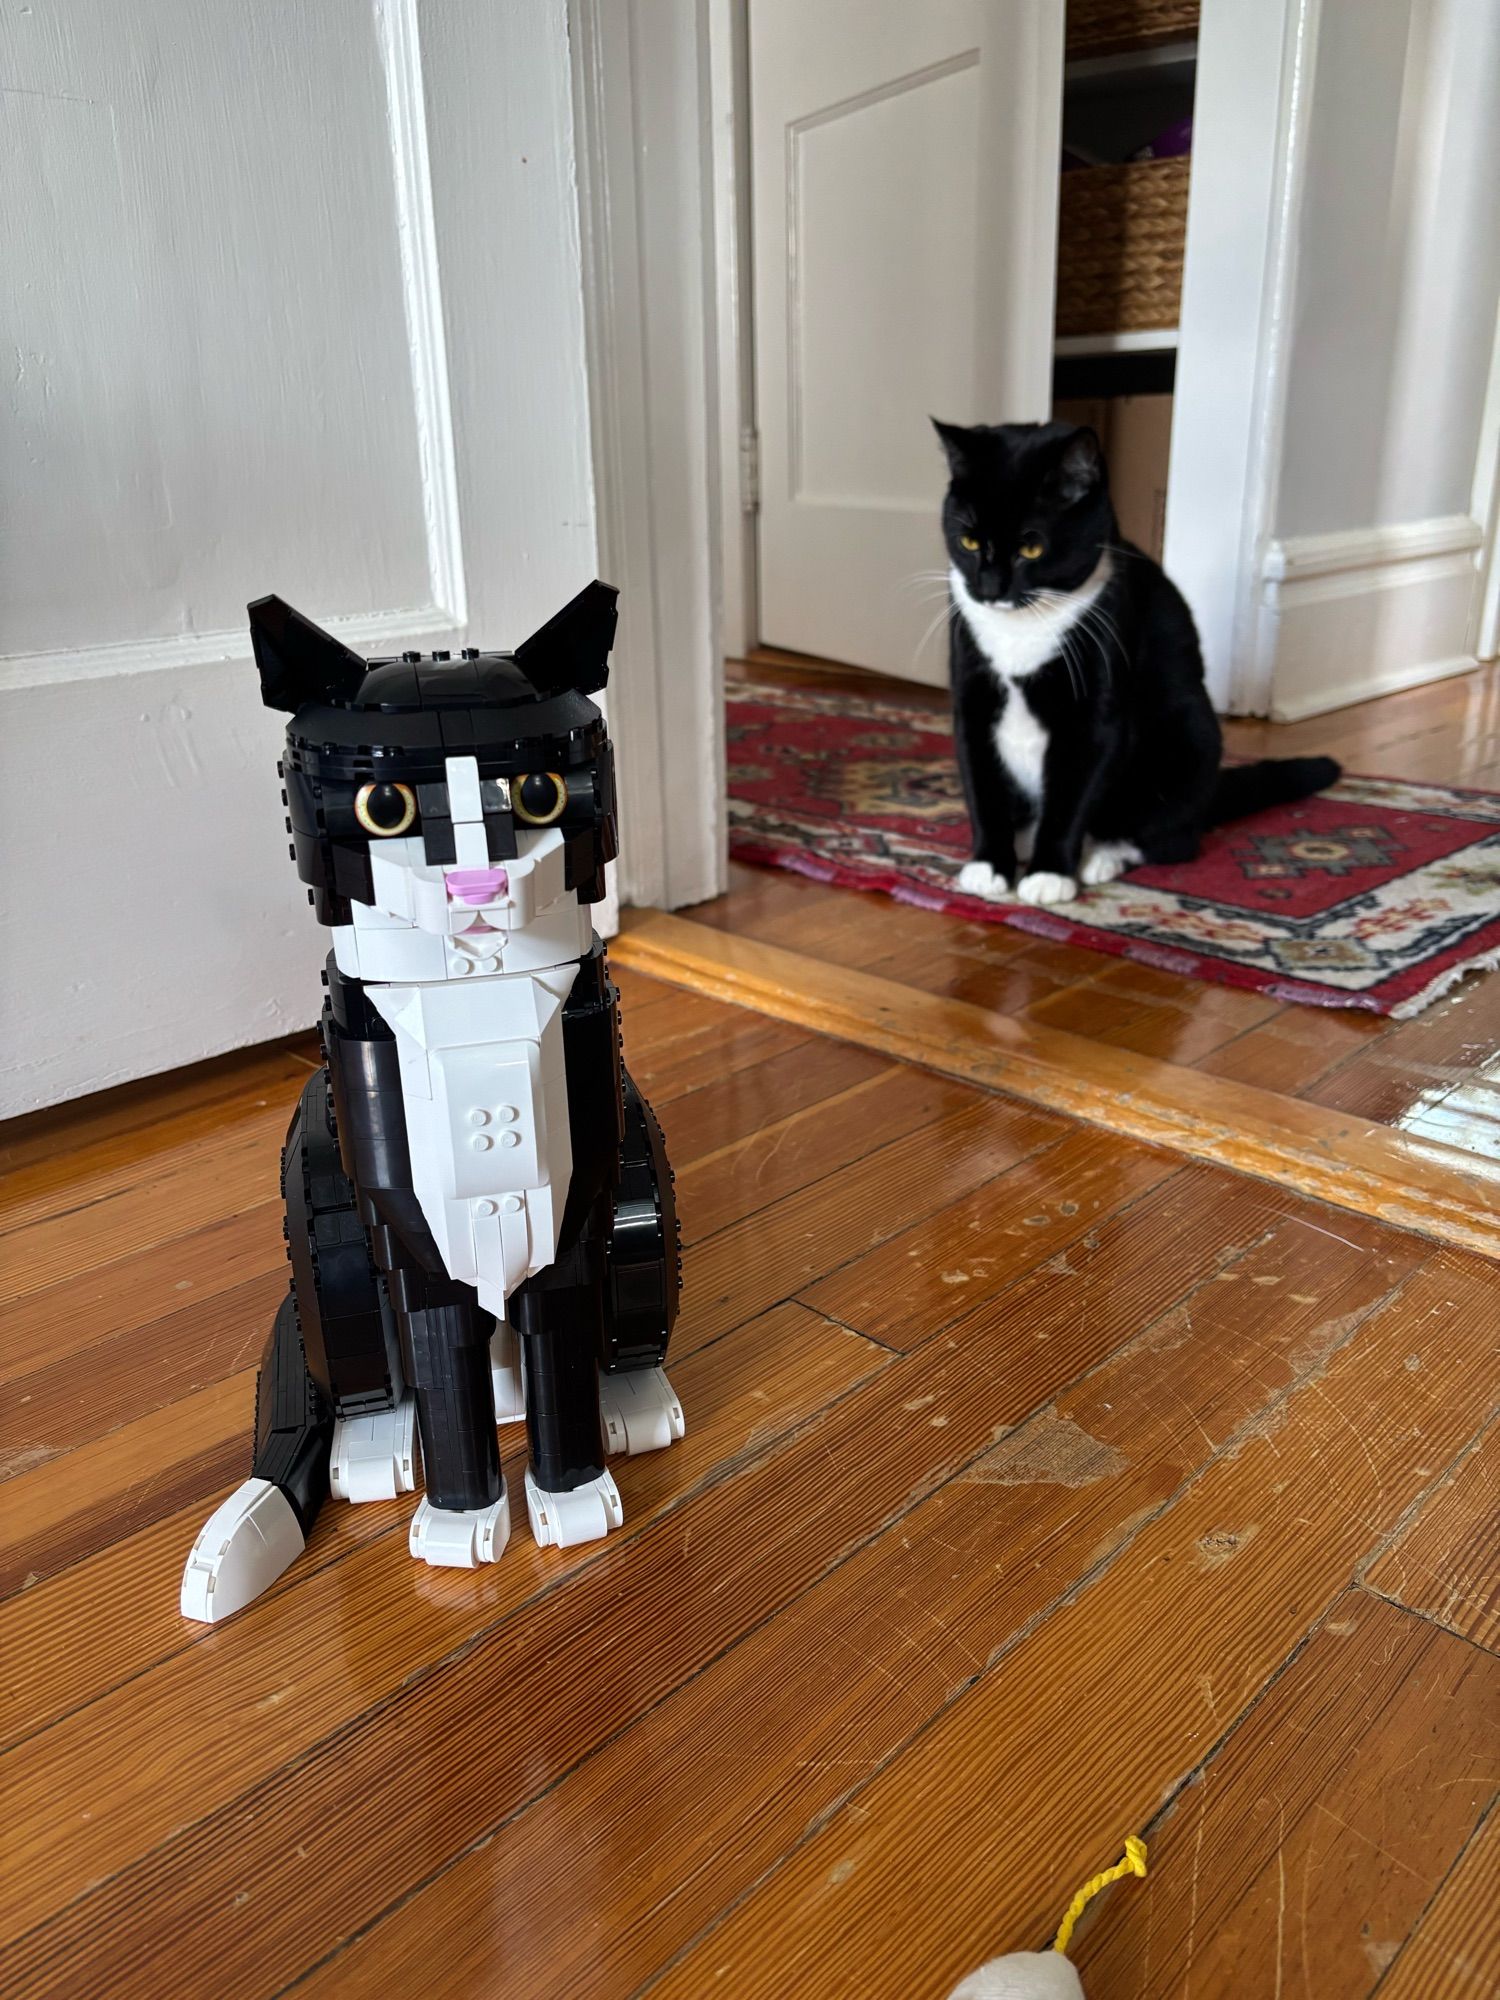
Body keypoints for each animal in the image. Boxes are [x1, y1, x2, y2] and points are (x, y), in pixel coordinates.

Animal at [936, 422, 1344, 908]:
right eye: (969, 541)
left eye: (1031, 548)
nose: (989, 588)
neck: (1022, 631)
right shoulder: (973, 701)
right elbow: (984, 790)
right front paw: (988, 865)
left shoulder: (1097, 710)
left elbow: (1071, 797)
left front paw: (1049, 874)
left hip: (1189, 736)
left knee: (1171, 839)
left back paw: (1101, 857)